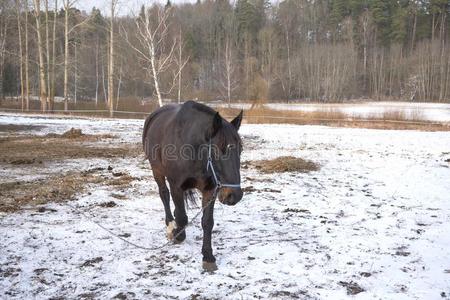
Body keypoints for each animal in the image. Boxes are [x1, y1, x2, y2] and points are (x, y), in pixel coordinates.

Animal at [143, 101, 243, 272]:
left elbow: (207, 222)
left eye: (241, 149)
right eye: (217, 148)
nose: (234, 195)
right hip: (156, 170)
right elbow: (182, 217)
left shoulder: (210, 189)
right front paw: (178, 234)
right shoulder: (176, 186)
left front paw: (208, 256)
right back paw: (171, 225)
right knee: (164, 195)